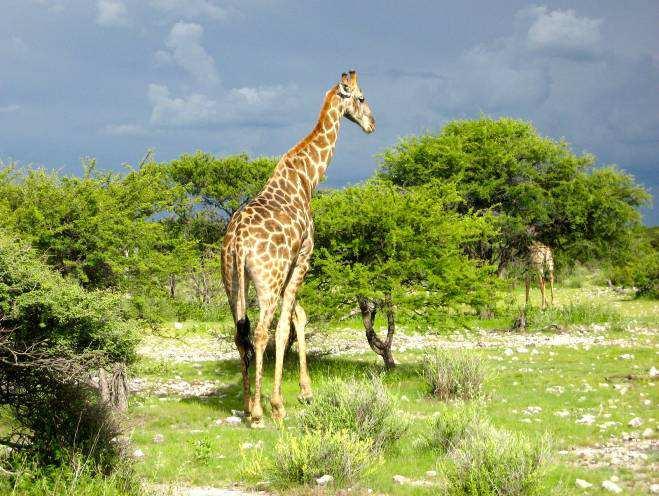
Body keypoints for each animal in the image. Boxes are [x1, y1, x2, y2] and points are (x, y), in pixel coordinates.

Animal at [222, 70, 376, 426]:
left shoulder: (290, 266)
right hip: (267, 280)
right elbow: (285, 326)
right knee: (261, 332)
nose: (372, 124)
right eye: (362, 97)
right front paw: (284, 400)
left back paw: (248, 405)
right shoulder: (304, 256)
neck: (307, 179)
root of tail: (237, 242)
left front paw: (304, 390)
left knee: (240, 333)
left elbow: (298, 316)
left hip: (232, 282)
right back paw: (261, 412)